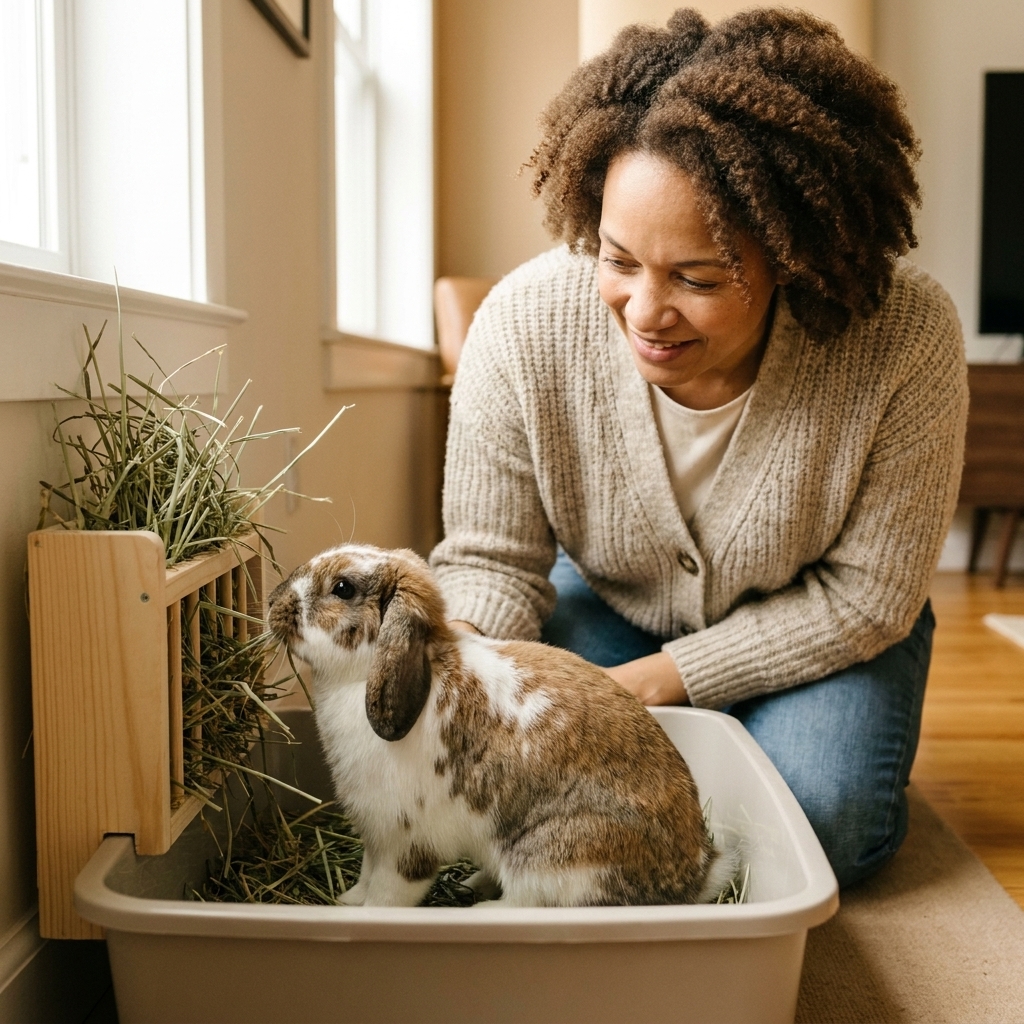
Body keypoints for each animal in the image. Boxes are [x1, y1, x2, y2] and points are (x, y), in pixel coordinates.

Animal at [267, 543, 733, 908]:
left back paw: (480, 907)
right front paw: (345, 901)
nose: (272, 601)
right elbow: (365, 876)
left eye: (342, 588)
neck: (362, 675)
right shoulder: (375, 836)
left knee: (529, 904)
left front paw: (365, 915)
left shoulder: (407, 844)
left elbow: (387, 894)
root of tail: (696, 876)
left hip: (554, 859)